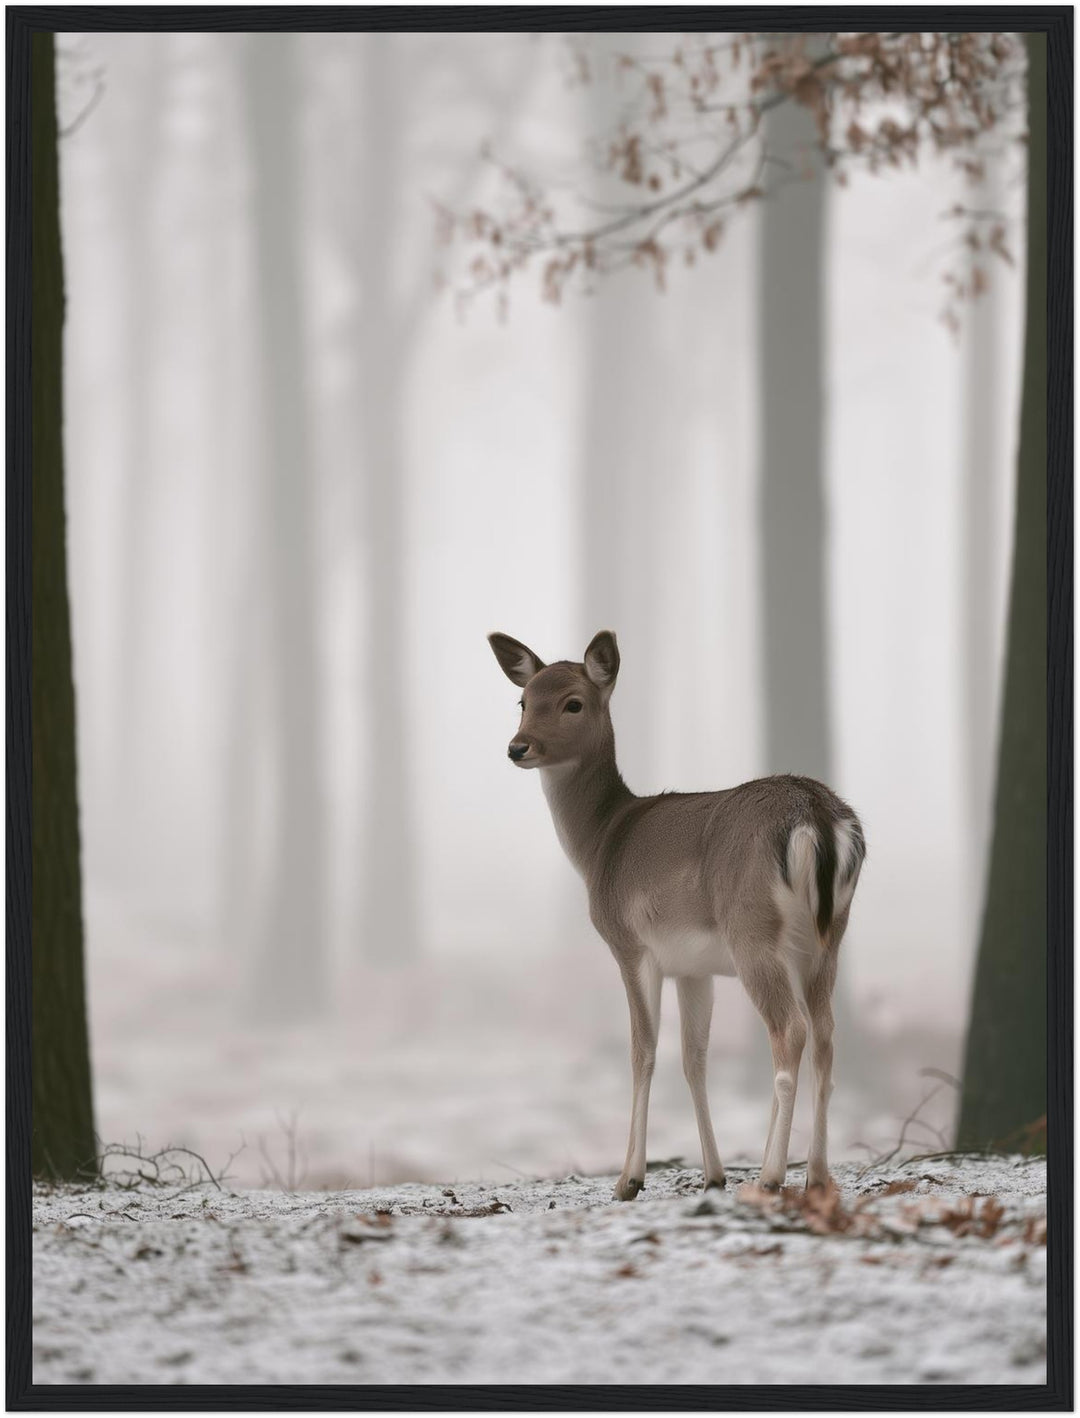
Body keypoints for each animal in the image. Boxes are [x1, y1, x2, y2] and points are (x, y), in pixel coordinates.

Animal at [488, 629, 866, 1202]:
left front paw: (628, 1179)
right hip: (829, 937)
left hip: (753, 931)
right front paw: (712, 1174)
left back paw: (771, 1175)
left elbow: (643, 1052)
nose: (518, 747)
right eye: (523, 700)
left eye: (573, 702)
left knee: (790, 1032)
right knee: (825, 1036)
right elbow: (694, 1058)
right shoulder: (693, 967)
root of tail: (817, 817)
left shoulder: (631, 944)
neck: (600, 843)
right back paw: (818, 1176)